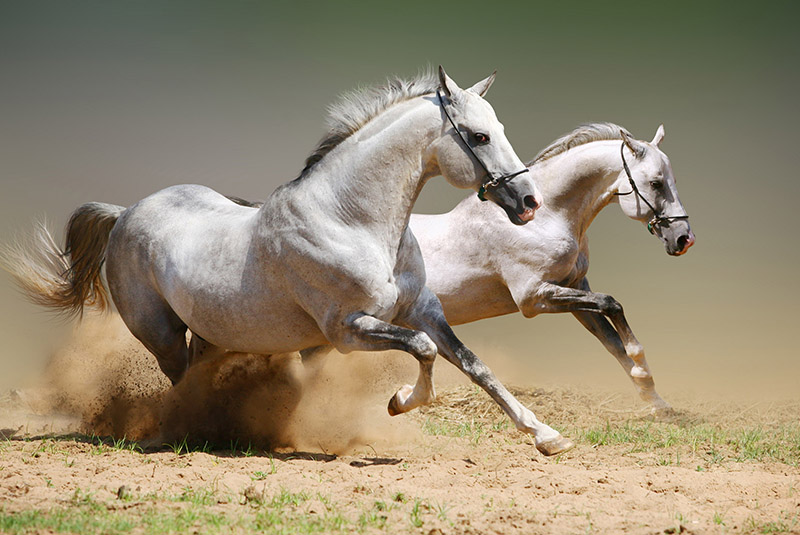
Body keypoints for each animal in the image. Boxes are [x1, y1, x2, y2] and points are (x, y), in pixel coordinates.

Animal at [4, 69, 580, 456]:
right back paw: (188, 432)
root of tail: (125, 213)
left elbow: (474, 365)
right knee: (180, 380)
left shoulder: (423, 311)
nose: (528, 202)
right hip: (160, 333)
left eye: (499, 128)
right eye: (479, 136)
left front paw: (547, 436)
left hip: (211, 333)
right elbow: (422, 352)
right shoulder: (347, 330)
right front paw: (399, 401)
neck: (351, 220)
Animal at [412, 122, 692, 414]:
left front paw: (656, 401)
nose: (684, 238)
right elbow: (611, 304)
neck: (544, 219)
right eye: (656, 183)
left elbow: (612, 341)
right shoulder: (533, 298)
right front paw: (642, 369)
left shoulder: (574, 288)